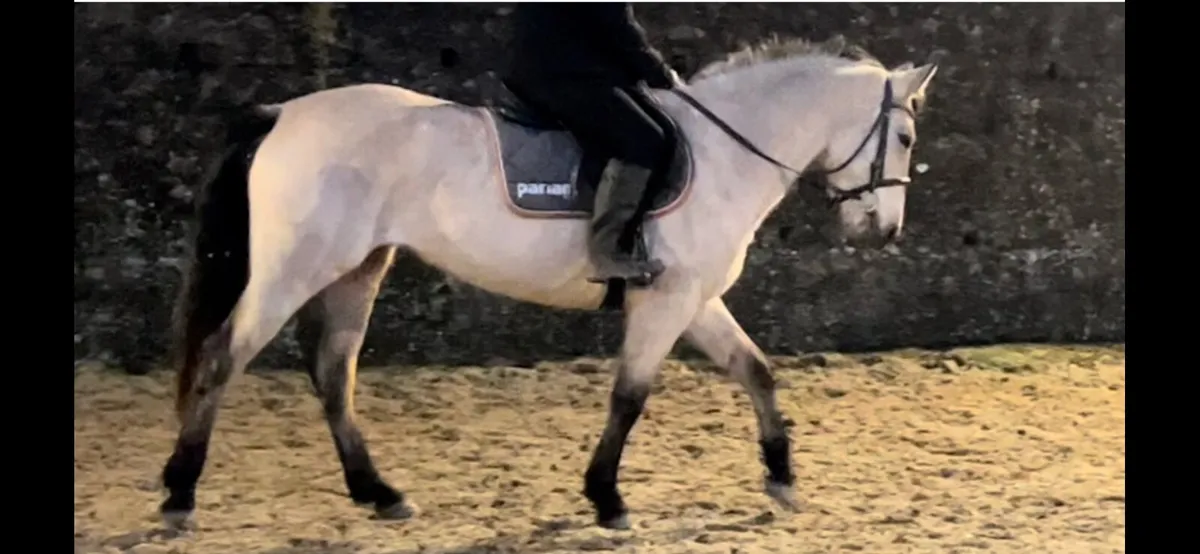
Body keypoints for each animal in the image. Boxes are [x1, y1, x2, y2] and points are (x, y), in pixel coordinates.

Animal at [159, 37, 939, 530]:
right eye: (904, 139)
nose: (883, 231)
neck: (726, 151)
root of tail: (284, 113)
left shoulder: (695, 299)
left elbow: (756, 369)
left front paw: (781, 477)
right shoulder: (666, 301)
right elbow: (630, 396)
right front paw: (607, 499)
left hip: (358, 268)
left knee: (333, 373)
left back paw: (379, 494)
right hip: (296, 269)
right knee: (225, 358)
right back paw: (179, 496)